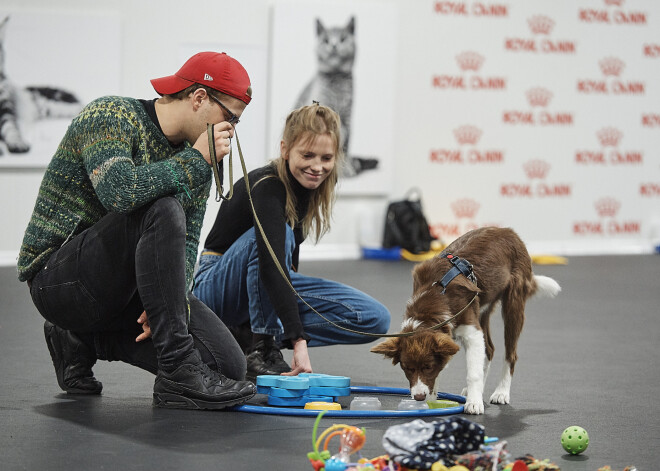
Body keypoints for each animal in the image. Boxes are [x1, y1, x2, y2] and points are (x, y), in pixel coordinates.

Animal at [372, 227, 564, 414]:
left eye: (427, 366)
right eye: (407, 368)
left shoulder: (472, 332)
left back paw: (501, 392)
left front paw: (473, 403)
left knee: (510, 354)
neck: (433, 298)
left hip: (513, 304)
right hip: (482, 309)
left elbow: (473, 373)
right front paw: (433, 398)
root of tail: (508, 231)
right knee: (489, 349)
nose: (419, 397)